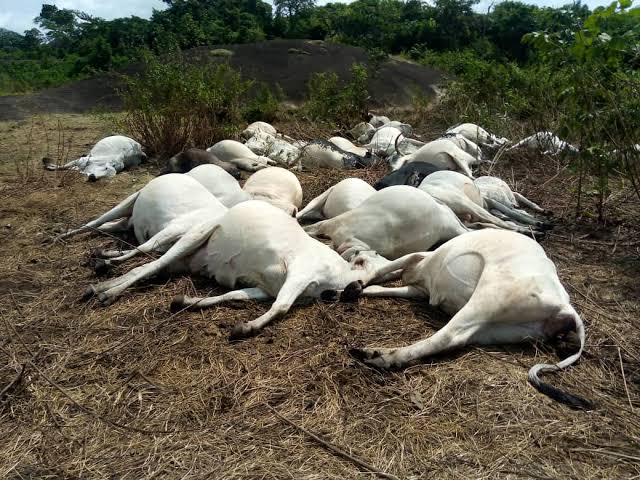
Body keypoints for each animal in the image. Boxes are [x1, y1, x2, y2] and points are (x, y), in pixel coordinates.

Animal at [83, 201, 368, 340]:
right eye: (363, 261)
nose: (355, 289)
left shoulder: (266, 288)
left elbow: (234, 295)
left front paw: (186, 301)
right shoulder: (299, 272)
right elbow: (281, 307)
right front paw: (246, 328)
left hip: (184, 256)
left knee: (151, 261)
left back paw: (102, 271)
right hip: (195, 236)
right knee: (150, 261)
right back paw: (105, 288)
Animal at [349, 228, 590, 410]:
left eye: (358, 259)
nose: (355, 253)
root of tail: (564, 305)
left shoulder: (419, 256)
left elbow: (384, 269)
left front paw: (355, 286)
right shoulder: (419, 289)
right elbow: (383, 286)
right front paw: (360, 289)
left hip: (488, 297)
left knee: (445, 336)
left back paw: (380, 355)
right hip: (495, 329)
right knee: (458, 339)